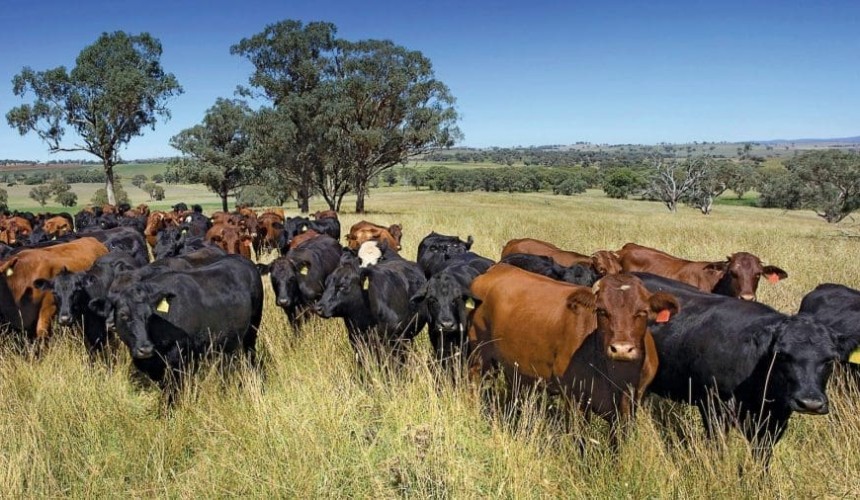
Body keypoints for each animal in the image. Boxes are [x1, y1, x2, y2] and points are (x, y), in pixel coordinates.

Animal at [468, 264, 678, 447]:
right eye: (602, 311)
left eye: (642, 312)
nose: (621, 349)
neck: (616, 377)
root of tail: (497, 269)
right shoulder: (574, 399)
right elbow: (580, 442)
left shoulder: (630, 405)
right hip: (479, 354)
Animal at [637, 272, 838, 463]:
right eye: (782, 355)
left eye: (829, 360)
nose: (810, 403)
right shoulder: (714, 407)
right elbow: (718, 448)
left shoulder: (776, 419)